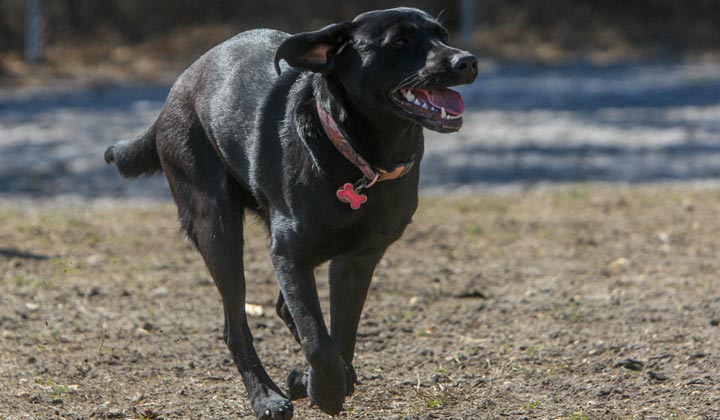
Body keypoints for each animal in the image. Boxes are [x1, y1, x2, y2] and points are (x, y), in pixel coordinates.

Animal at [105, 7, 478, 420]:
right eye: (400, 42)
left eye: (443, 35)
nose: (467, 61)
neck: (358, 156)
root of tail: (178, 87)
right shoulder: (289, 255)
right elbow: (318, 338)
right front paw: (326, 390)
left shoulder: (358, 260)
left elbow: (341, 334)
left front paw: (322, 380)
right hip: (216, 229)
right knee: (236, 327)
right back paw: (266, 397)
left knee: (285, 310)